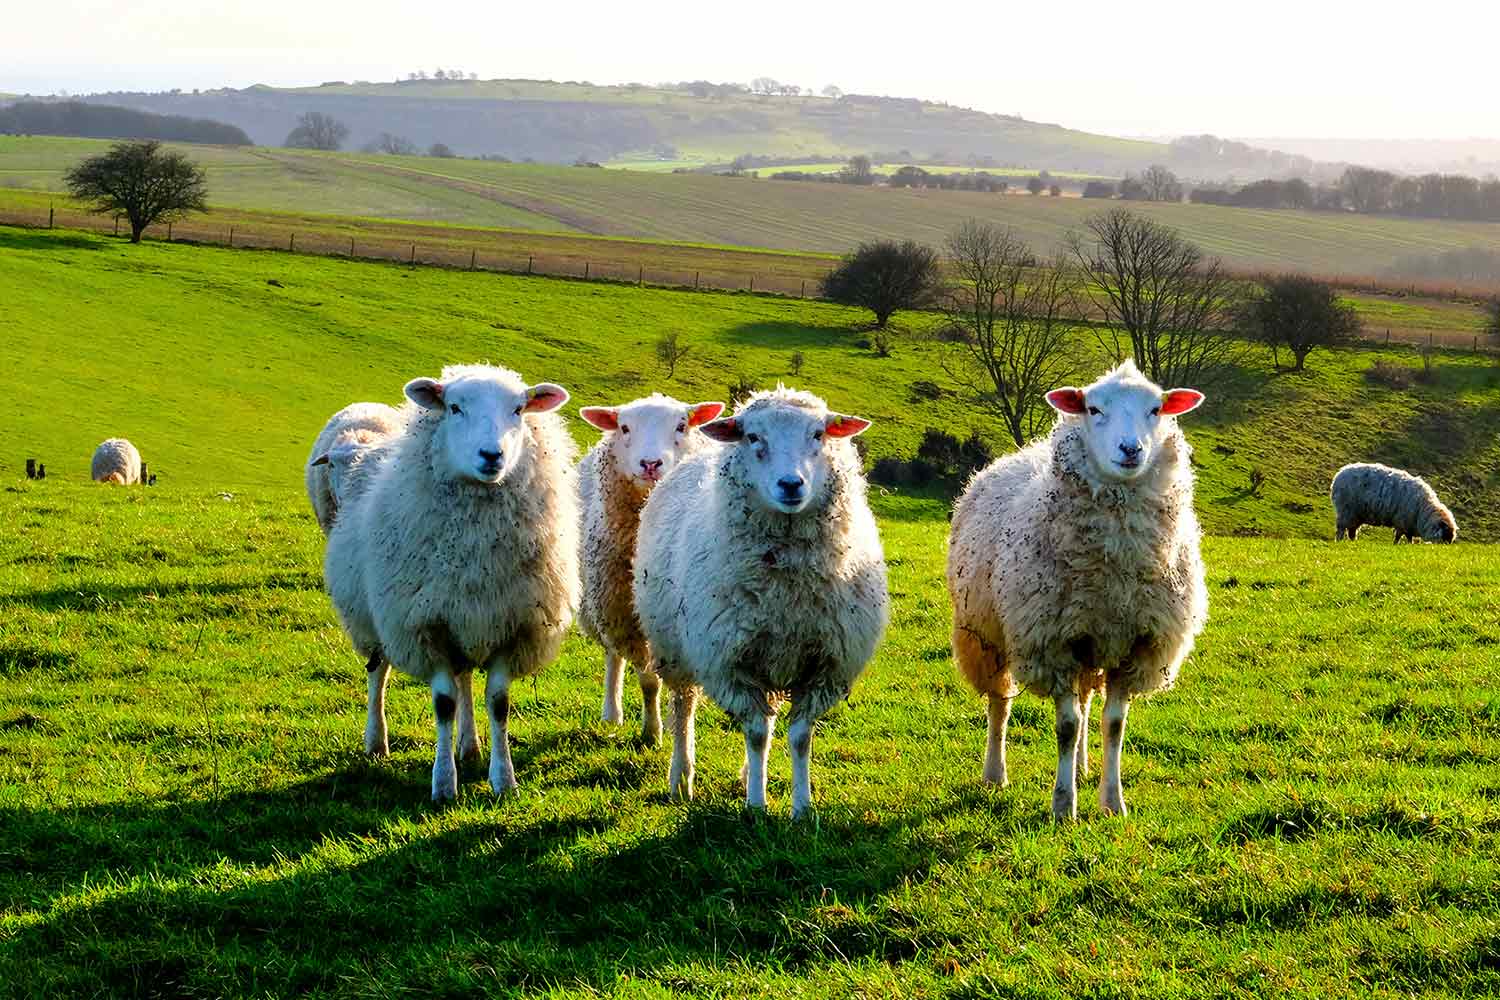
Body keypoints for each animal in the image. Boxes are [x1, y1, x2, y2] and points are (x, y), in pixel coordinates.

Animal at [323, 364, 579, 802]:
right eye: (455, 408)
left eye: (518, 409)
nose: (492, 455)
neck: (477, 553)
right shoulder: (426, 628)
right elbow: (443, 704)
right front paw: (443, 784)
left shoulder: (510, 627)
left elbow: (498, 703)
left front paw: (503, 780)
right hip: (374, 621)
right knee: (378, 674)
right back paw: (376, 741)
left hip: (467, 620)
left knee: (465, 682)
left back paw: (470, 746)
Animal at [576, 393, 725, 743]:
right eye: (624, 427)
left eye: (682, 425)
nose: (650, 464)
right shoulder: (629, 620)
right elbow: (648, 680)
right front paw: (652, 732)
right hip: (603, 605)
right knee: (612, 656)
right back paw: (612, 712)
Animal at [633, 386, 888, 818]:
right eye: (752, 437)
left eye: (818, 434)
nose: (791, 484)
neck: (785, 594)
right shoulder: (731, 663)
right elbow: (755, 734)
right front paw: (756, 805)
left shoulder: (824, 668)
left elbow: (799, 737)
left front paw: (801, 807)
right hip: (676, 649)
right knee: (683, 708)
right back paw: (681, 778)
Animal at [946, 359, 1208, 821]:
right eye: (1093, 409)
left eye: (1156, 409)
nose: (1130, 449)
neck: (1115, 572)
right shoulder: (1053, 645)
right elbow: (1065, 727)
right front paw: (1063, 805)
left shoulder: (1136, 645)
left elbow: (1113, 725)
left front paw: (1112, 801)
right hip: (987, 637)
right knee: (1000, 704)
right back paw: (995, 773)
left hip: (1091, 644)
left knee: (1086, 702)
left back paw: (1085, 767)